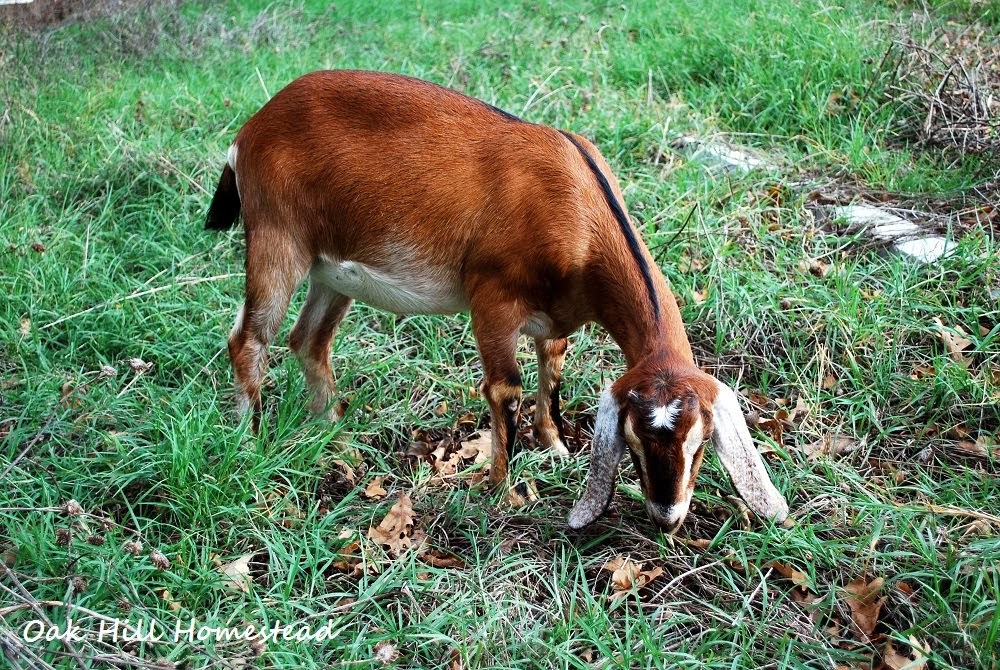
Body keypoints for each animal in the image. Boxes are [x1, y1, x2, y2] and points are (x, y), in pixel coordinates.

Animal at [205, 70, 788, 532]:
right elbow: (505, 389)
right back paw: (247, 438)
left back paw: (332, 428)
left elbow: (553, 368)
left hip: (332, 269)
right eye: (636, 442)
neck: (577, 203)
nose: (667, 517)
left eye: (699, 445)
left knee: (309, 339)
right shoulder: (491, 300)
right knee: (248, 339)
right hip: (277, 237)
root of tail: (252, 128)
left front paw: (554, 446)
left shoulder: (556, 315)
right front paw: (502, 489)